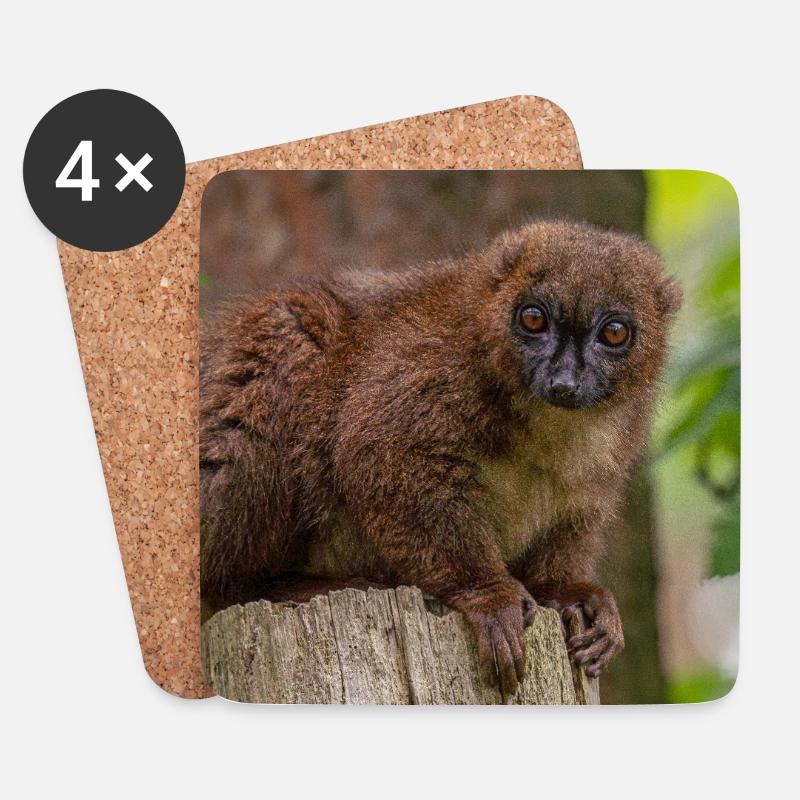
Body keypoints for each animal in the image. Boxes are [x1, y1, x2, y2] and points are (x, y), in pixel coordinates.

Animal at [200, 219, 682, 695]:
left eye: (614, 333)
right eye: (533, 319)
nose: (564, 382)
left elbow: (576, 512)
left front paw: (566, 592)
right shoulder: (436, 369)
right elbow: (374, 448)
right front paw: (489, 593)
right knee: (291, 331)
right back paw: (279, 588)